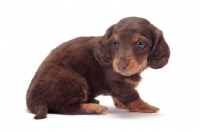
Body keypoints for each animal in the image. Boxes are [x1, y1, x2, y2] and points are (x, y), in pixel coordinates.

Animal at [26, 16, 170, 118]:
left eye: (140, 44)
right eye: (115, 43)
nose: (121, 66)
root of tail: (31, 98)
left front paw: (120, 103)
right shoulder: (117, 81)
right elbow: (132, 95)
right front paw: (145, 106)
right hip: (73, 79)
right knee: (66, 108)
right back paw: (94, 108)